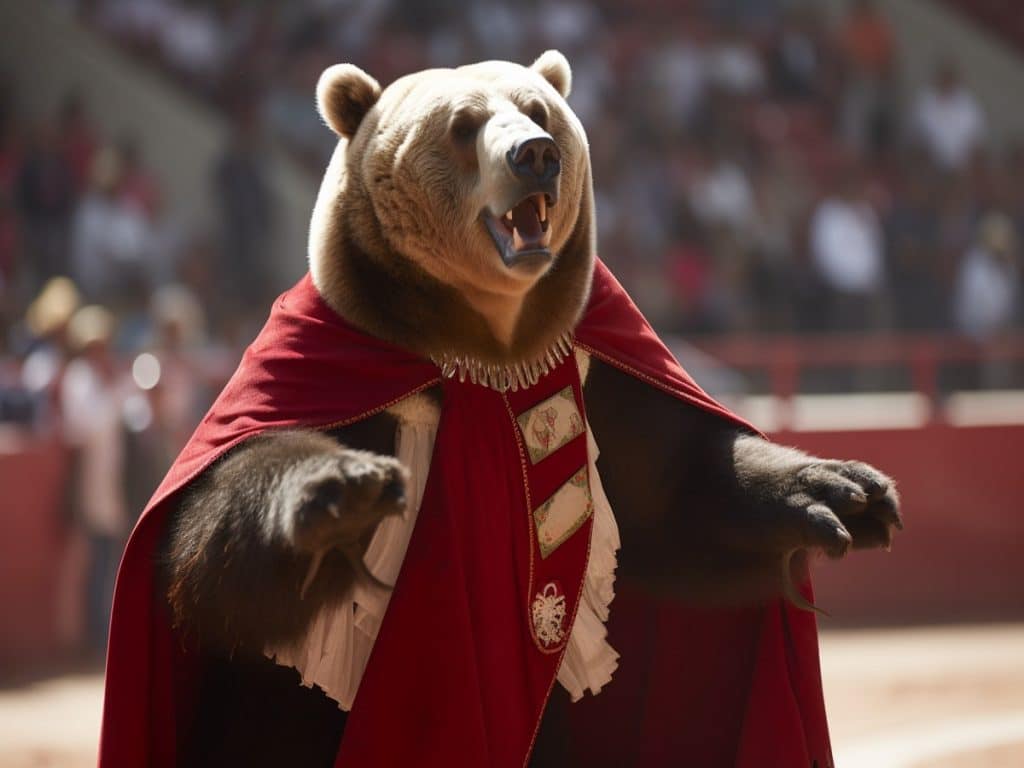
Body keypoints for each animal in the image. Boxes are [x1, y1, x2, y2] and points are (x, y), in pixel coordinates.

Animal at [98, 51, 901, 768]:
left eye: (539, 110)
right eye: (462, 124)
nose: (535, 155)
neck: (490, 345)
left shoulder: (606, 374)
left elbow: (678, 497)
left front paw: (843, 491)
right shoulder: (321, 371)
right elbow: (214, 553)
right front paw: (341, 492)